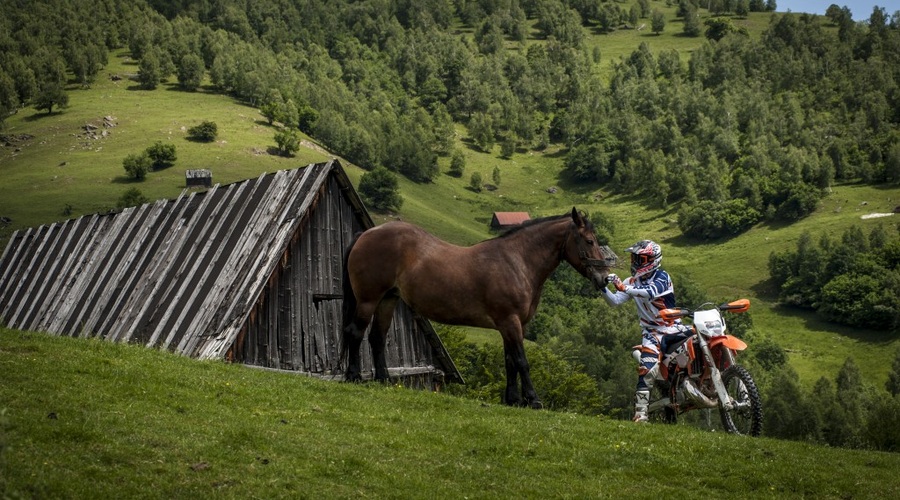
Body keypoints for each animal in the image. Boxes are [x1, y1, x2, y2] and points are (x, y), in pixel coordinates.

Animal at [342, 209, 616, 408]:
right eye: (590, 241)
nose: (604, 278)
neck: (516, 262)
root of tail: (366, 234)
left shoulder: (511, 325)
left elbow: (509, 362)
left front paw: (513, 400)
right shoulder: (510, 321)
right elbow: (521, 361)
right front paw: (533, 400)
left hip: (388, 300)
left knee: (377, 338)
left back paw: (384, 380)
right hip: (368, 300)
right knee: (356, 333)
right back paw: (353, 376)